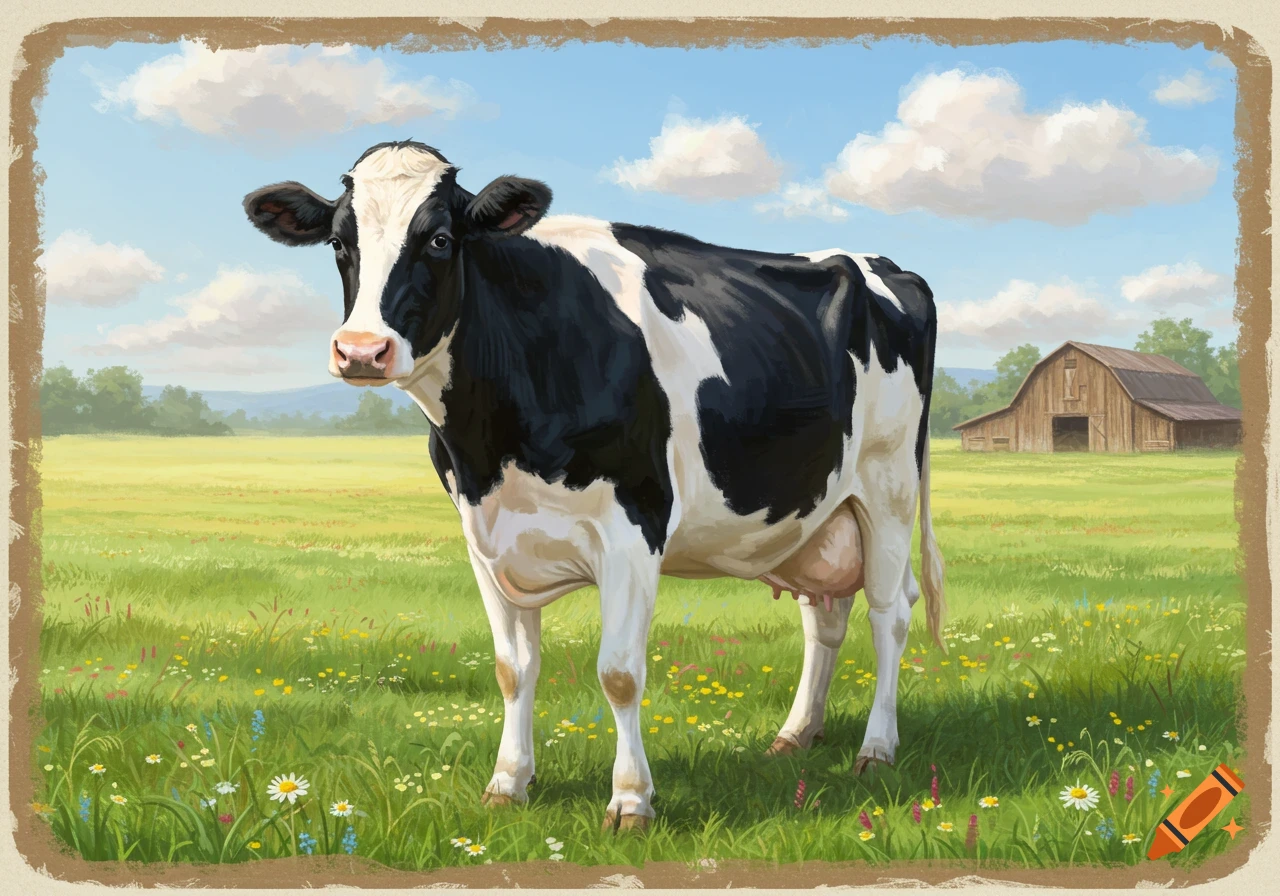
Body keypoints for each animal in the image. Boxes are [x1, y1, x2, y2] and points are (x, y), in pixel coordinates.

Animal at [243, 140, 946, 831]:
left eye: (440, 238)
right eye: (340, 243)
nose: (362, 351)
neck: (492, 447)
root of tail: (883, 264)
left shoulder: (634, 527)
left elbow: (620, 673)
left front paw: (631, 801)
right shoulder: (485, 538)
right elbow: (512, 669)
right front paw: (508, 784)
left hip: (886, 488)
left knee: (889, 612)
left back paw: (876, 749)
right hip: (817, 512)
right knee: (824, 615)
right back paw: (796, 735)